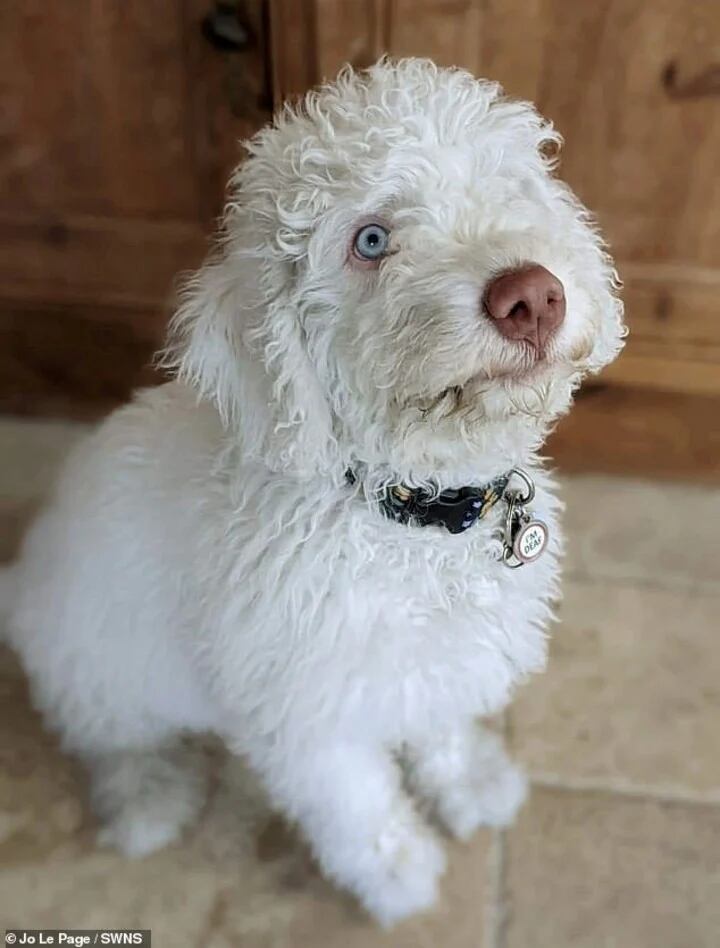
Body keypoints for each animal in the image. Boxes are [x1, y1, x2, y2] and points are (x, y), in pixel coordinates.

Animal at [2, 61, 624, 924]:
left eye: (508, 185)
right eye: (371, 241)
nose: (531, 296)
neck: (406, 513)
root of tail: (21, 580)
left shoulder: (434, 658)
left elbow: (441, 727)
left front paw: (472, 784)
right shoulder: (304, 709)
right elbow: (355, 804)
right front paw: (399, 877)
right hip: (98, 662)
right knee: (107, 739)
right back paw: (148, 800)